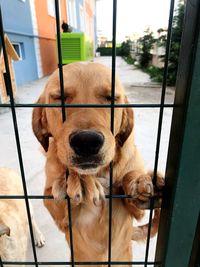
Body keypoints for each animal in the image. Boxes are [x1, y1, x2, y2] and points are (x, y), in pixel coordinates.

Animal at [32, 62, 164, 266]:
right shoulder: (58, 213)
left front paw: (138, 182)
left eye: (111, 98)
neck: (98, 173)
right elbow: (56, 194)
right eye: (60, 98)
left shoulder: (136, 212)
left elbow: (129, 178)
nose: (86, 142)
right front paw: (79, 180)